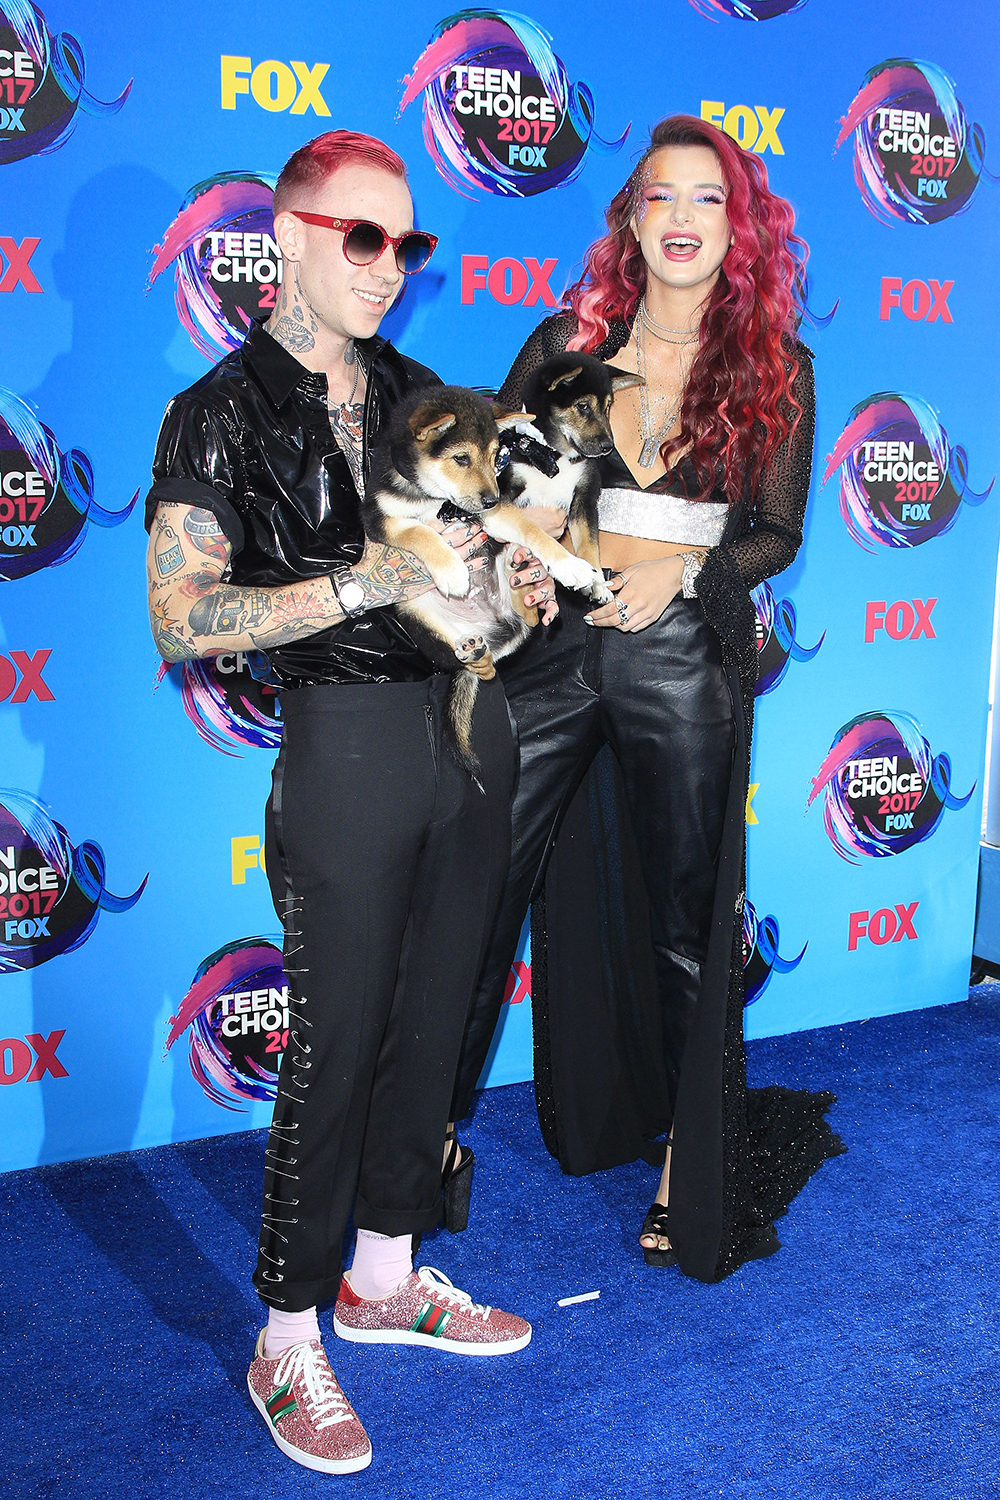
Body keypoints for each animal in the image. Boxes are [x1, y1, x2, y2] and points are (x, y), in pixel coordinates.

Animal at [364, 381, 605, 780]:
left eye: (496, 456)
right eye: (461, 459)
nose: (492, 498)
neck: (433, 497)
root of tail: (492, 625)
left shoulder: (489, 518)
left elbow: (531, 531)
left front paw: (571, 565)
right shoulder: (379, 519)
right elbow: (419, 531)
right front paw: (451, 569)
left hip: (506, 576)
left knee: (524, 617)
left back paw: (523, 589)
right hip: (411, 607)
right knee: (459, 654)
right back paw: (468, 647)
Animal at [503, 351, 644, 597]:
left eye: (608, 407)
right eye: (583, 406)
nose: (608, 447)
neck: (555, 455)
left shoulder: (583, 499)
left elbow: (589, 546)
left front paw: (598, 584)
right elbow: (526, 526)